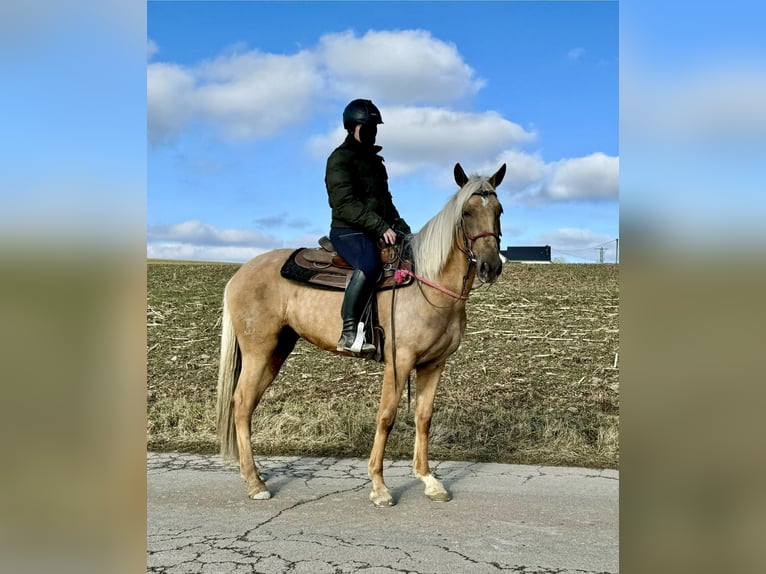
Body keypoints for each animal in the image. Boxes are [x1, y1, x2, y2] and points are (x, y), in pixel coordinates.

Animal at [216, 162, 508, 508]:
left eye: (499, 211)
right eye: (466, 212)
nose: (491, 266)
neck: (430, 284)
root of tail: (239, 274)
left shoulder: (434, 364)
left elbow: (423, 418)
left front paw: (429, 481)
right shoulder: (399, 362)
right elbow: (386, 417)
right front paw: (379, 487)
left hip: (275, 351)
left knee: (247, 405)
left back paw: (251, 474)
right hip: (258, 350)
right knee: (242, 403)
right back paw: (255, 482)